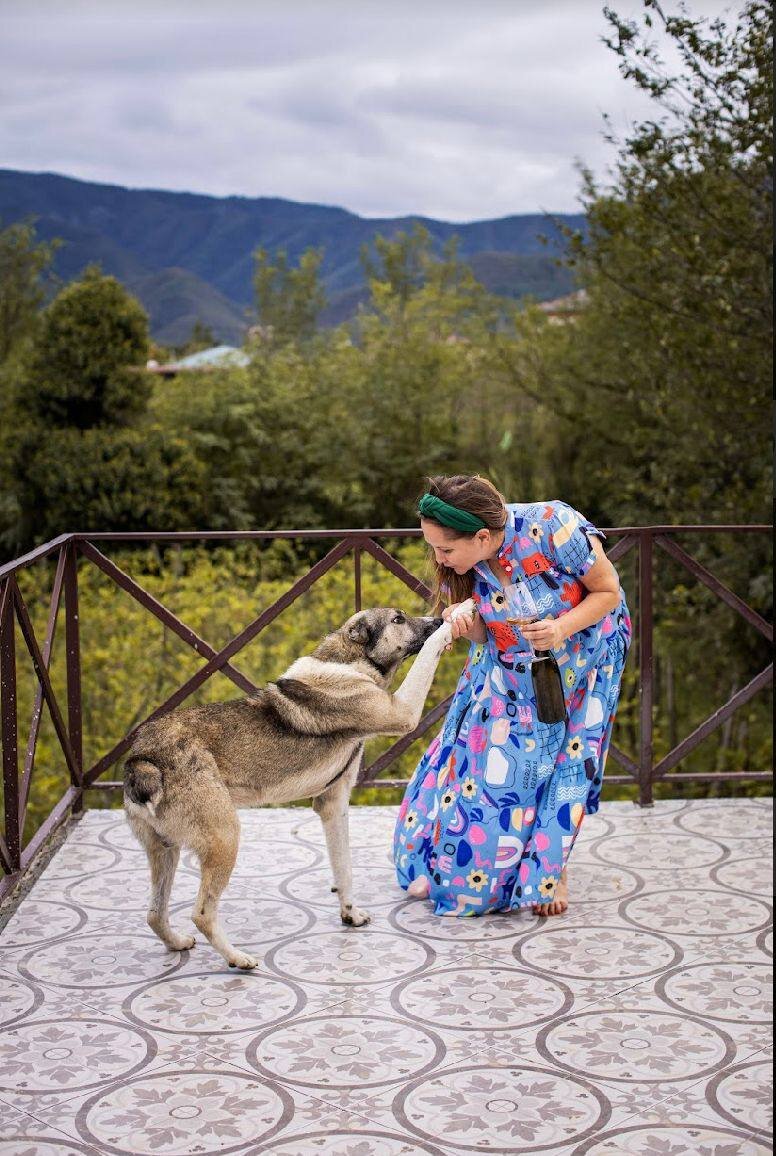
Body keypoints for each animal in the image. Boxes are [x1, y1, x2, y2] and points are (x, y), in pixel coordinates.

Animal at [124, 610, 457, 971]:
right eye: (398, 618)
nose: (436, 618)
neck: (349, 662)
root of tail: (141, 760)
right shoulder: (405, 713)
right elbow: (428, 655)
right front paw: (458, 619)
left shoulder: (333, 804)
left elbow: (344, 867)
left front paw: (350, 915)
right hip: (224, 838)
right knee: (201, 914)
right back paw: (238, 959)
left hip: (165, 850)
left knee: (154, 914)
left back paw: (178, 943)